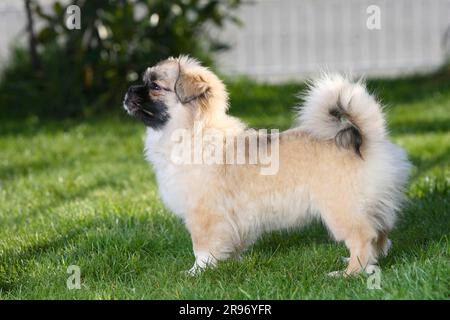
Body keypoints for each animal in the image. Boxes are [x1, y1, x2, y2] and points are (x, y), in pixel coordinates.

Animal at [123, 55, 412, 276]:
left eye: (155, 86)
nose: (128, 91)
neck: (192, 132)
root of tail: (368, 139)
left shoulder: (203, 215)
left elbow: (201, 248)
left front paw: (196, 273)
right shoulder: (231, 221)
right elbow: (230, 244)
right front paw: (228, 264)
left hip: (342, 209)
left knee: (364, 237)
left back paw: (349, 273)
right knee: (380, 235)